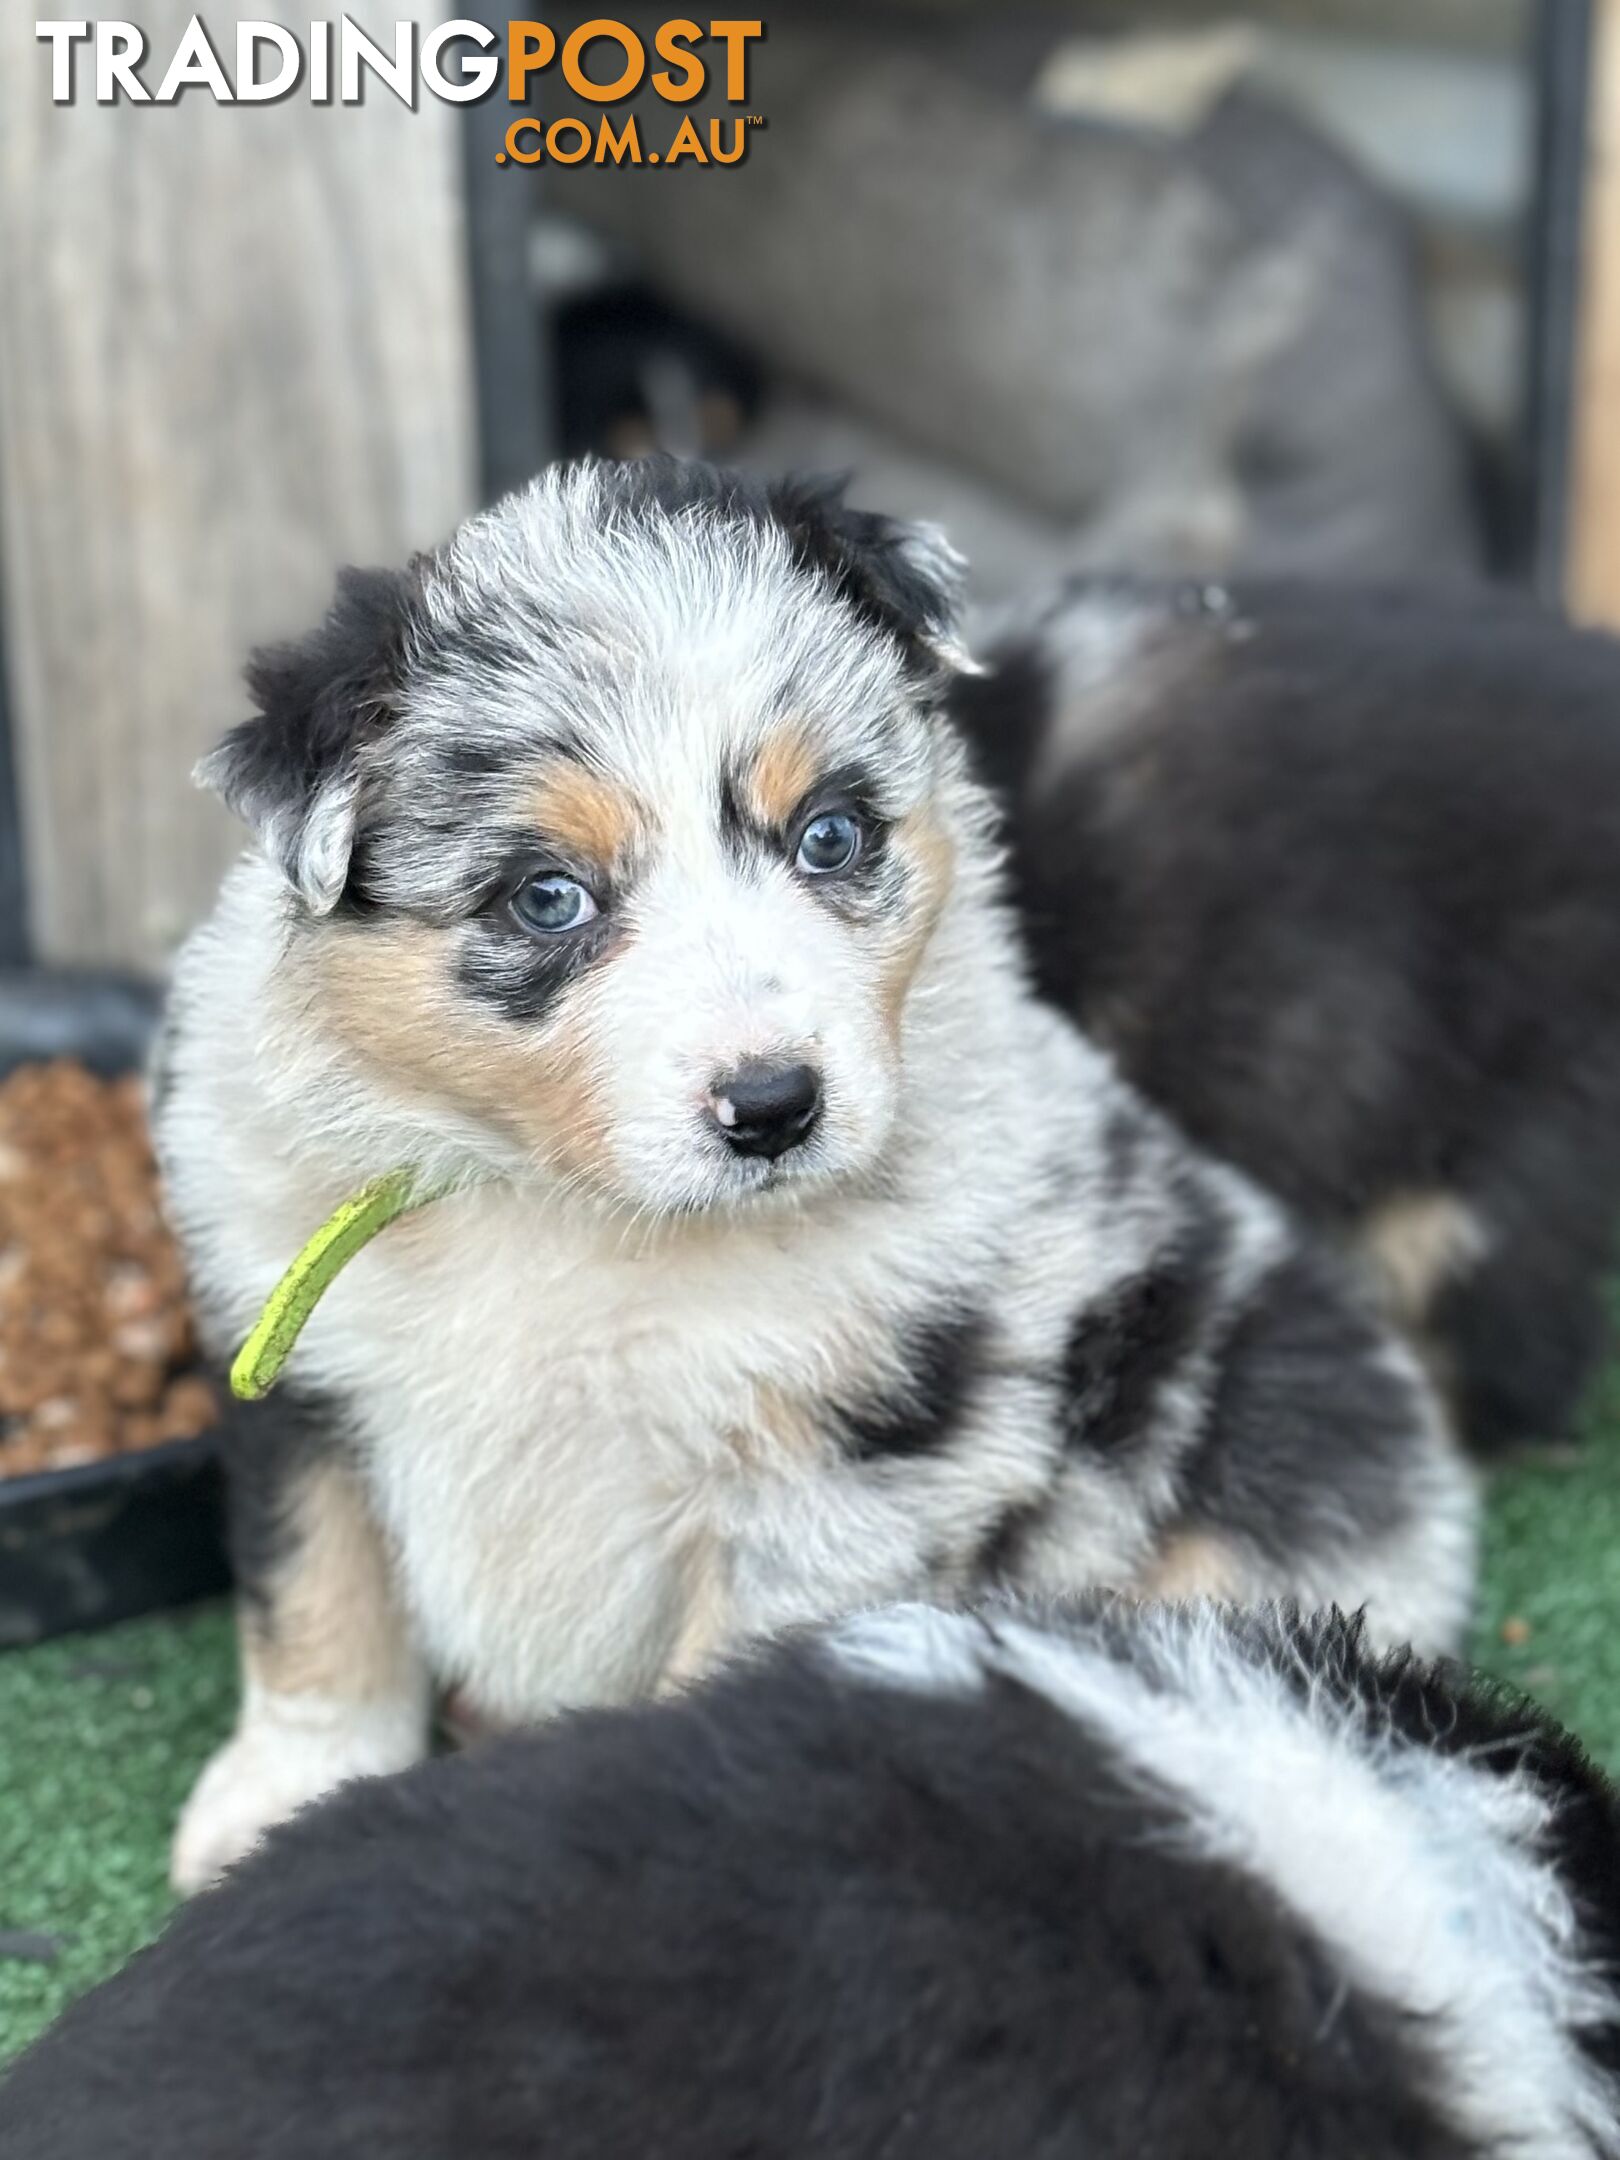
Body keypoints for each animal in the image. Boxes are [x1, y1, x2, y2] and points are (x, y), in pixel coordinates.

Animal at [158, 460, 1477, 1892]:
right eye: (548, 898)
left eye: (831, 837)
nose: (775, 1108)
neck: (564, 1204)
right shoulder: (293, 1364)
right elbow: (315, 1596)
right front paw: (277, 1796)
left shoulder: (842, 1472)